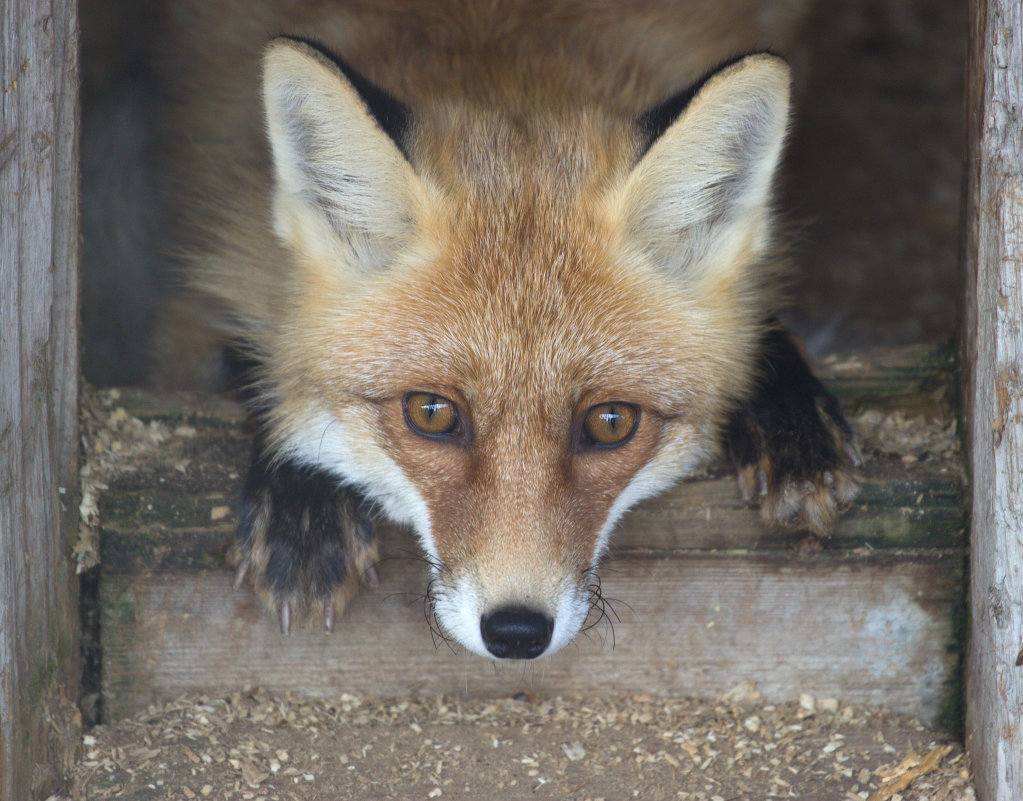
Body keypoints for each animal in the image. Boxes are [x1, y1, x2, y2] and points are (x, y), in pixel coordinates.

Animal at [129, 1, 863, 658]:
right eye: (430, 413)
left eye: (610, 423)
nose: (516, 631)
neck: (506, 60)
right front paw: (304, 498)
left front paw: (791, 420)